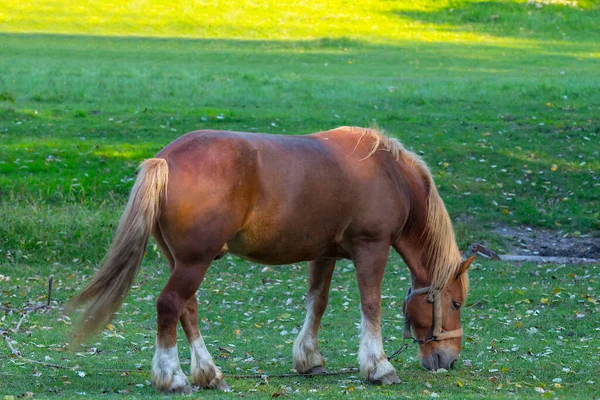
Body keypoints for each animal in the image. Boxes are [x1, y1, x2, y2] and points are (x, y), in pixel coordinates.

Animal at [69, 126, 474, 392]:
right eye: (455, 303)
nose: (449, 360)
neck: (387, 173)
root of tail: (165, 159)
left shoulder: (324, 254)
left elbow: (318, 302)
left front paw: (309, 359)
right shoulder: (371, 247)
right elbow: (370, 305)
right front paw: (378, 366)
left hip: (181, 261)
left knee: (187, 309)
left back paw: (209, 374)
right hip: (194, 262)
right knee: (169, 305)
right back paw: (174, 377)